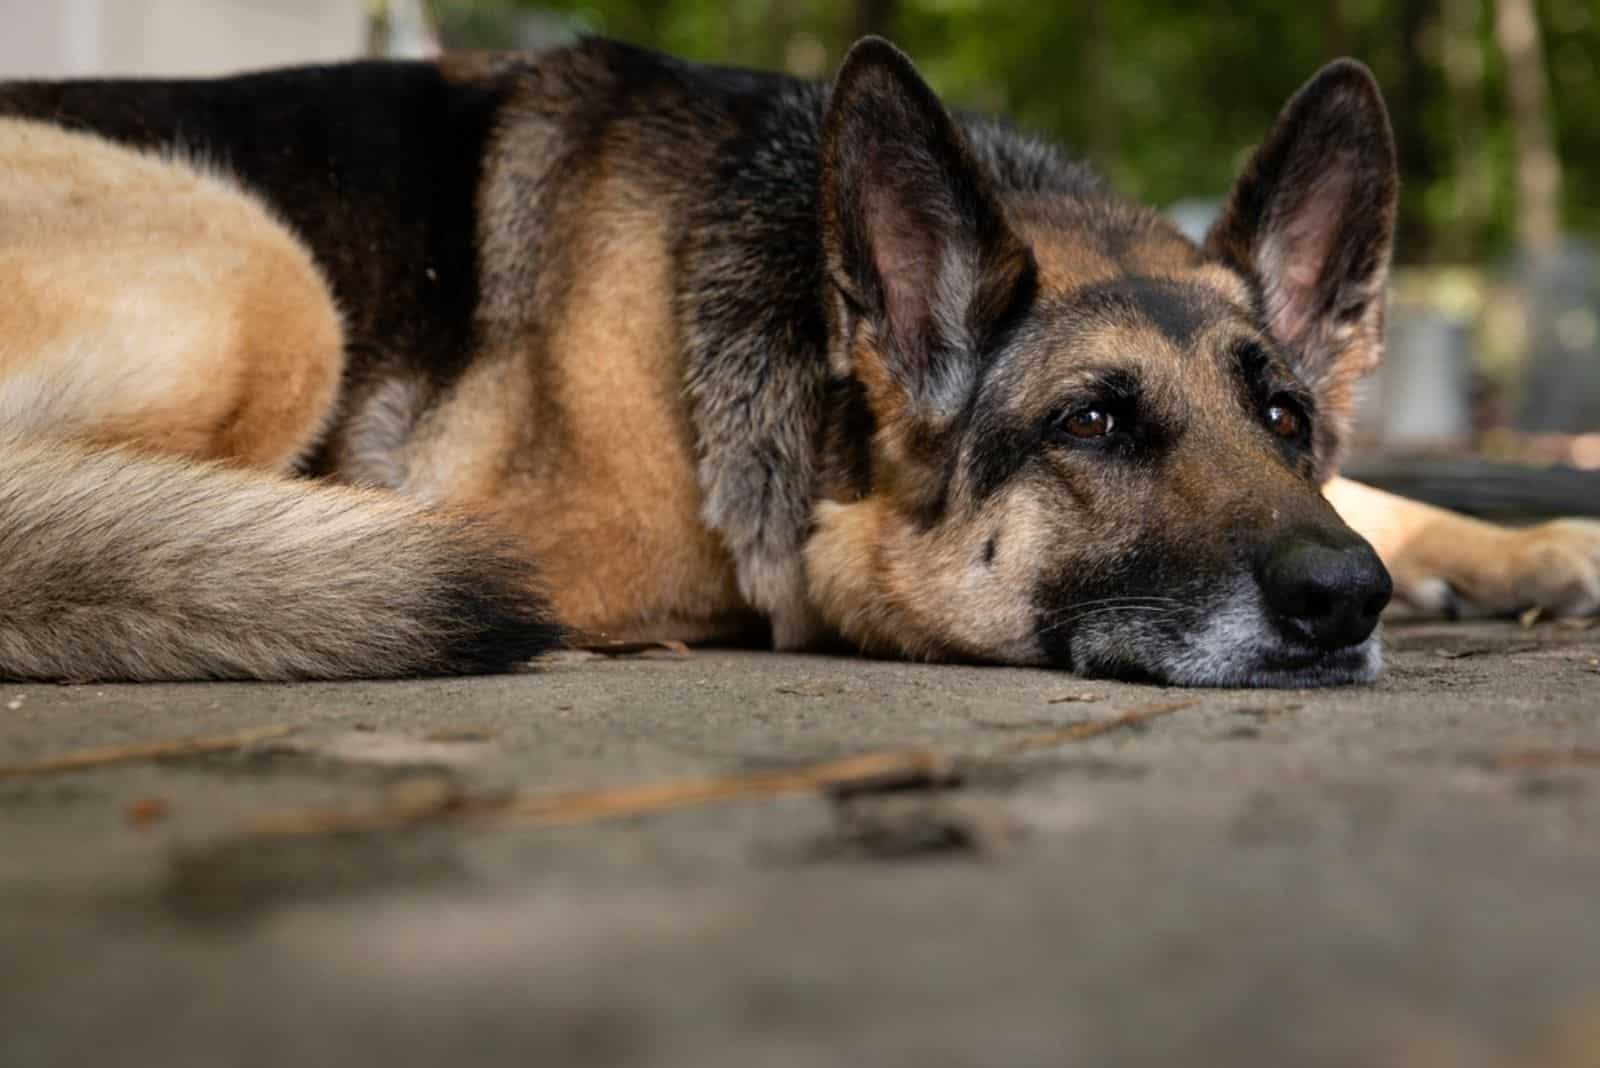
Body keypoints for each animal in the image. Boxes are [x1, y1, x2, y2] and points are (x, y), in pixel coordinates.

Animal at [0, 37, 1593, 684]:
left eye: (1284, 417)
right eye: (1089, 425)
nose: (1342, 603)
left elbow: (1380, 496)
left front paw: (1524, 544)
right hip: (266, 277)